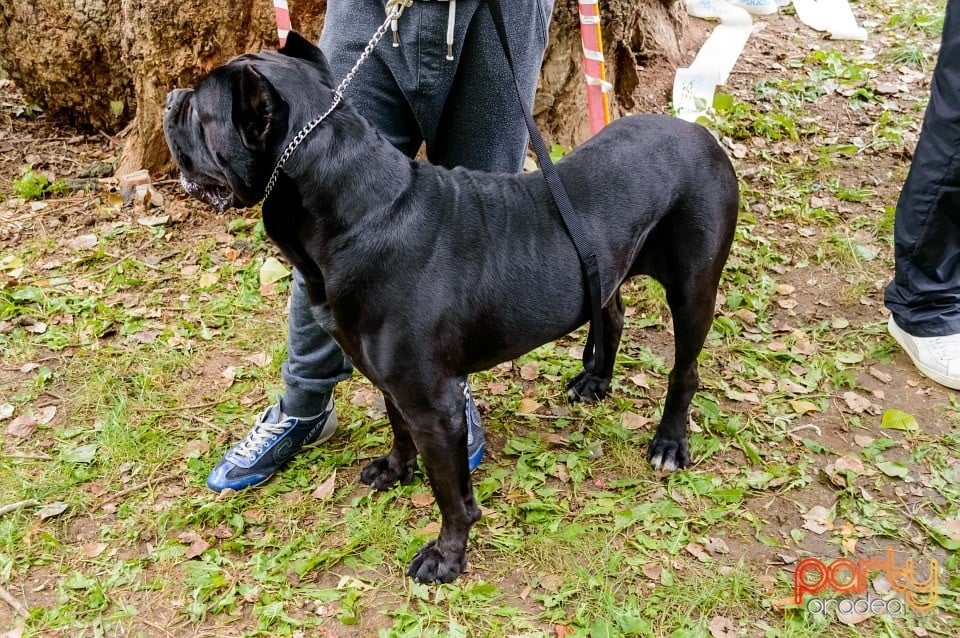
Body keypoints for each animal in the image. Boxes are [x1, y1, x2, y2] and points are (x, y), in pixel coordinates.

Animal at [163, 33, 736, 584]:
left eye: (198, 110)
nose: (171, 99)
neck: (358, 213)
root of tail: (699, 135)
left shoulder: (433, 405)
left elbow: (451, 494)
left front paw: (446, 557)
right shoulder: (394, 383)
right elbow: (398, 429)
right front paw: (396, 471)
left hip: (693, 291)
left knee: (685, 372)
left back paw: (669, 443)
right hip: (608, 266)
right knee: (612, 314)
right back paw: (595, 380)